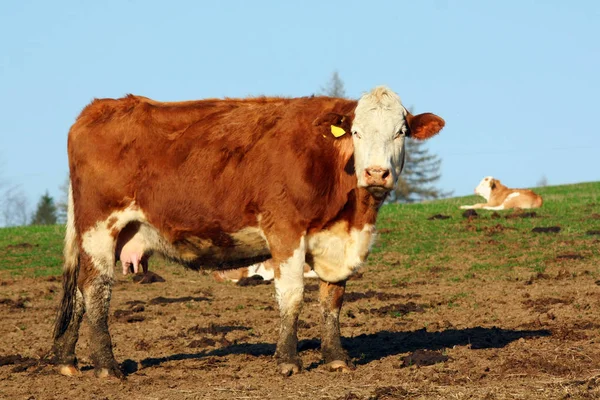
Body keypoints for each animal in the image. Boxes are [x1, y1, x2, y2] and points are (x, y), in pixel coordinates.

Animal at [52, 86, 446, 378]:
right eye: (357, 132)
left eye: (401, 132)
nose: (376, 173)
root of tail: (99, 108)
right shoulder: (285, 229)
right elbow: (292, 295)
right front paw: (288, 360)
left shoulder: (337, 241)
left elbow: (332, 299)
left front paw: (336, 356)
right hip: (99, 225)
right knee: (95, 288)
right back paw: (107, 367)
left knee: (81, 290)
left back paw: (67, 361)